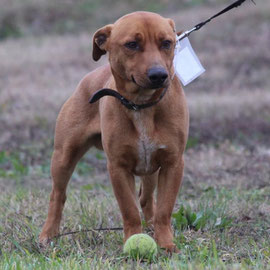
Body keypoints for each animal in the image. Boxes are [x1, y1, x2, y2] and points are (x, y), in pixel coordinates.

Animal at [39, 10, 188, 251]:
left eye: (167, 43)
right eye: (132, 44)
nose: (158, 75)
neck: (141, 105)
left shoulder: (172, 163)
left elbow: (164, 210)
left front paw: (165, 243)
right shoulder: (118, 167)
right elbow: (129, 209)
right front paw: (133, 239)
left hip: (151, 168)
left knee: (146, 197)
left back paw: (151, 227)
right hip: (63, 157)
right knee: (57, 196)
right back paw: (48, 234)